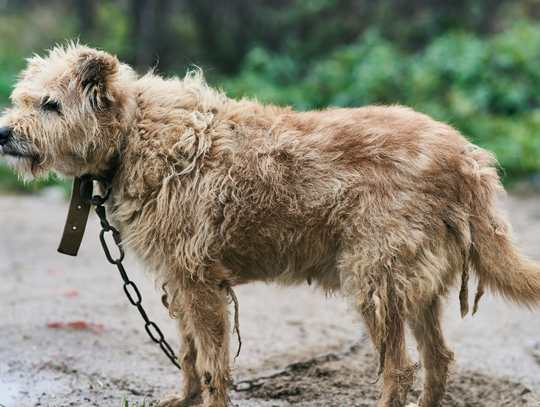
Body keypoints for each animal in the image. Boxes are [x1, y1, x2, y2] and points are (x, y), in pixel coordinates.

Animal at [1, 43, 540, 406]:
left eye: (50, 105)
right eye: (22, 100)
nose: (3, 133)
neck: (137, 132)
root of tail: (466, 158)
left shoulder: (200, 283)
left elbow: (213, 362)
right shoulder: (179, 282)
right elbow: (190, 355)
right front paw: (185, 396)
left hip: (376, 282)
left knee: (401, 368)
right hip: (416, 287)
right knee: (438, 359)